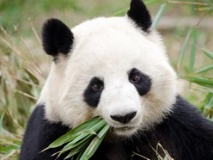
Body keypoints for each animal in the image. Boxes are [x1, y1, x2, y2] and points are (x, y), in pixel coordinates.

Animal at [19, 0, 213, 160]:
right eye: (96, 86)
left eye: (136, 77)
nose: (124, 116)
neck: (123, 137)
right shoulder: (55, 134)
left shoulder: (175, 123)